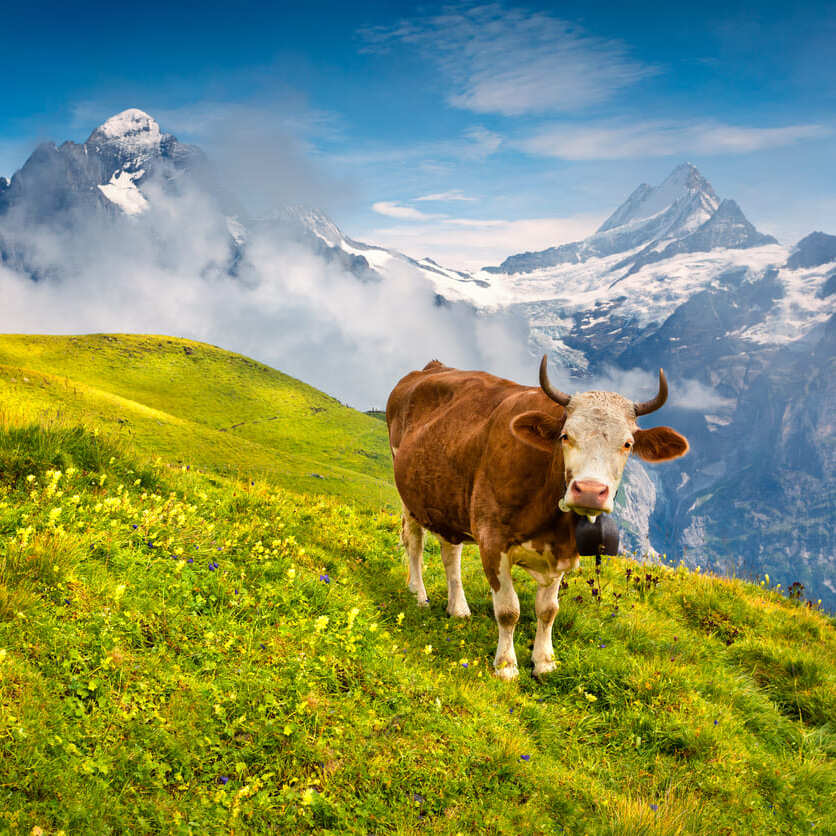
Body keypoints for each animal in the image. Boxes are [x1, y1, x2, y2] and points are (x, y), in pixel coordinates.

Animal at [386, 355, 689, 680]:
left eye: (628, 444)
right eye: (565, 436)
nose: (590, 491)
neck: (550, 521)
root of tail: (431, 367)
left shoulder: (563, 551)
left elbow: (548, 610)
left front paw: (544, 662)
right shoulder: (492, 539)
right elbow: (508, 610)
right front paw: (506, 666)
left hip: (445, 498)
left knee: (449, 552)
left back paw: (458, 608)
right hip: (408, 494)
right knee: (414, 543)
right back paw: (419, 595)